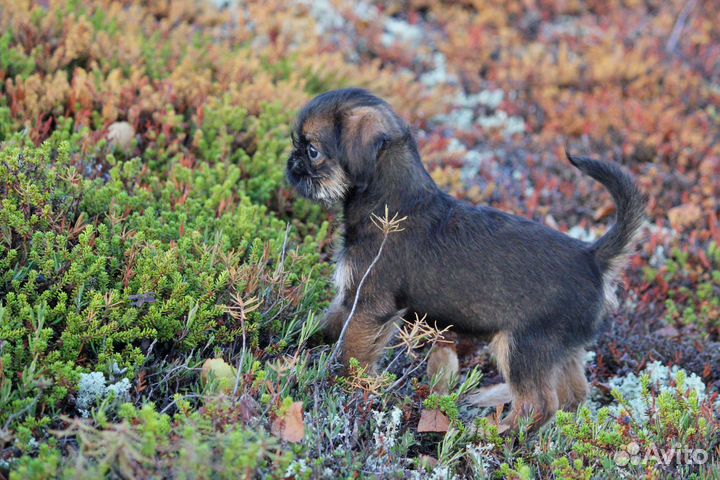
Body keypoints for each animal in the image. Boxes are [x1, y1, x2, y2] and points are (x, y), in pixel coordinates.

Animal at [286, 88, 648, 430]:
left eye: (312, 151)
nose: (291, 163)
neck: (390, 201)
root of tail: (593, 258)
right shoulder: (351, 299)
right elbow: (330, 324)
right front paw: (301, 343)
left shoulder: (369, 306)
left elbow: (351, 353)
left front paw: (340, 385)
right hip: (562, 350)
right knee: (574, 395)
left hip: (523, 346)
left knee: (538, 405)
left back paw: (498, 434)